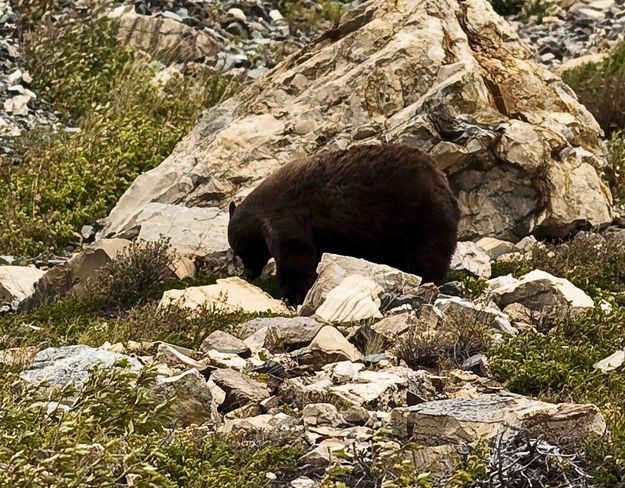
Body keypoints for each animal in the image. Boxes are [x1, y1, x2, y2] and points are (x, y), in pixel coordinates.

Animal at [228, 143, 458, 304]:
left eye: (241, 252)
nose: (248, 274)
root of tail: (442, 181)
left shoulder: (288, 221)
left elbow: (296, 259)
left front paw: (291, 294)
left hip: (418, 216)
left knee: (427, 254)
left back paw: (428, 281)